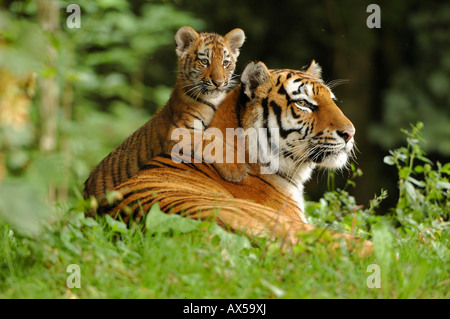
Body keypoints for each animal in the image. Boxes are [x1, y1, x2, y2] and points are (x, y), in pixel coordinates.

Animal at [84, 26, 246, 201]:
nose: (219, 83)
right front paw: (236, 169)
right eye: (204, 61)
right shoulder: (178, 132)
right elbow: (210, 139)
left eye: (225, 63)